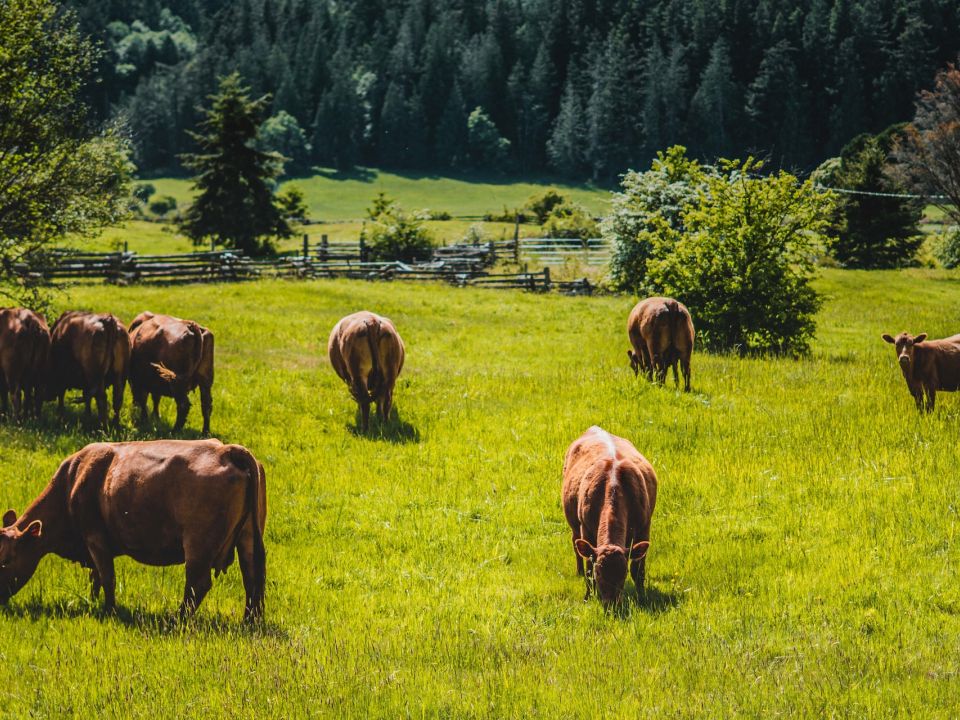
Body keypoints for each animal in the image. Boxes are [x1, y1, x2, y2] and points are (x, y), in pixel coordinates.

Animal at [0, 436, 266, 620]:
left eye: (6, 560)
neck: (72, 482)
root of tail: (225, 450)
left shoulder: (95, 537)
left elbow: (107, 577)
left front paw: (109, 611)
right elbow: (96, 577)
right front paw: (94, 602)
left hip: (198, 544)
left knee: (197, 584)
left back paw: (178, 618)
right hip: (248, 537)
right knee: (252, 577)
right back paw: (249, 620)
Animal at [560, 424, 656, 604]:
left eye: (623, 574)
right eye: (599, 573)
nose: (611, 603)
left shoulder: (644, 526)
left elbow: (638, 568)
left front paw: (642, 595)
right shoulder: (586, 528)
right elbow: (589, 567)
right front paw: (588, 596)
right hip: (574, 524)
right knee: (575, 544)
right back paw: (579, 572)